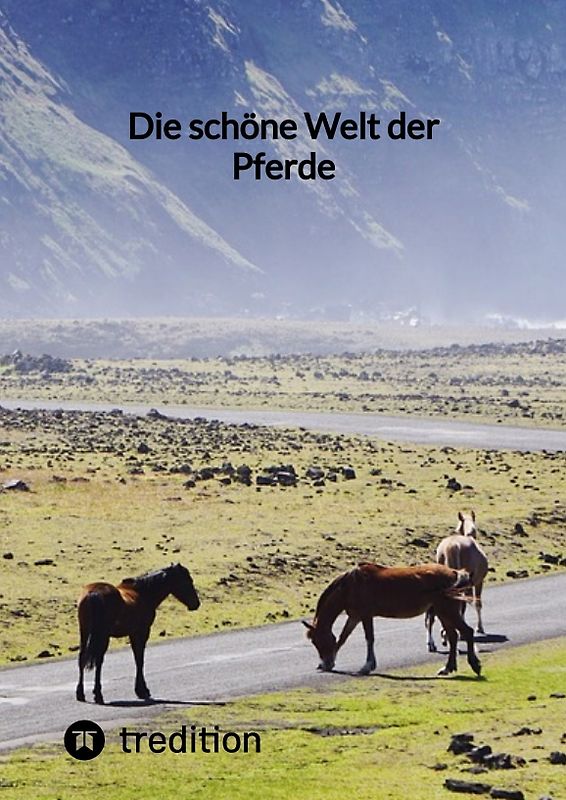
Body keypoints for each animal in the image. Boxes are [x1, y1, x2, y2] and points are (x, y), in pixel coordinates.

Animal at [75, 562, 200, 704]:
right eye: (187, 581)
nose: (196, 604)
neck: (143, 593)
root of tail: (94, 593)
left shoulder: (133, 634)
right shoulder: (141, 632)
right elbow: (139, 659)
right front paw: (142, 690)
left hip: (84, 632)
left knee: (82, 658)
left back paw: (80, 693)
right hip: (102, 636)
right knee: (99, 660)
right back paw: (98, 694)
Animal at [303, 562, 481, 677]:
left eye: (317, 641)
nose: (324, 662)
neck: (351, 586)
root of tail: (454, 573)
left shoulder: (365, 615)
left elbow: (369, 638)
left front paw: (367, 666)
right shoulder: (355, 616)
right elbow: (342, 638)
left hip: (446, 611)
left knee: (466, 632)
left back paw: (475, 665)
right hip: (442, 612)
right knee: (453, 636)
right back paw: (447, 668)